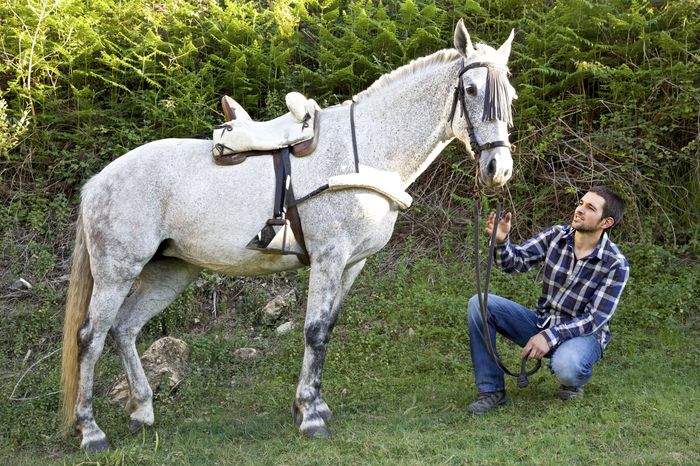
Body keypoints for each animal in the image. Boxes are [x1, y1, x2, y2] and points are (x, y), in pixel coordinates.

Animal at [60, 19, 517, 452]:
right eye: (471, 89)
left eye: (509, 96)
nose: (499, 169)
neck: (365, 153)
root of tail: (98, 181)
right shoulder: (329, 257)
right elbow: (314, 331)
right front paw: (311, 417)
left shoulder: (352, 263)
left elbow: (327, 328)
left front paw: (312, 404)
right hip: (117, 272)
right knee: (91, 337)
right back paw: (91, 431)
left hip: (169, 272)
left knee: (124, 328)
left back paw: (142, 411)